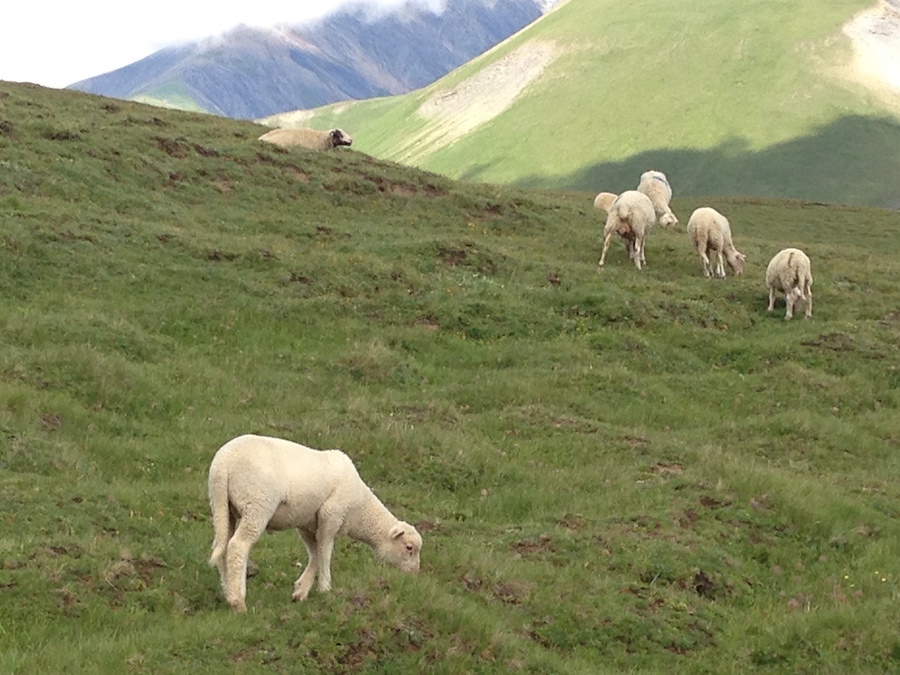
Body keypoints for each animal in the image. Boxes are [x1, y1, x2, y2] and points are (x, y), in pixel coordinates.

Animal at [209, 436, 424, 616]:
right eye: (409, 548)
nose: (415, 574)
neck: (361, 511)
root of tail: (223, 463)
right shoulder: (331, 514)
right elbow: (325, 550)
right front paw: (325, 588)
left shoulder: (306, 523)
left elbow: (315, 552)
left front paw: (301, 591)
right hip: (257, 504)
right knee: (238, 546)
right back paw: (238, 601)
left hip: (222, 507)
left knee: (222, 546)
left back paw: (227, 591)